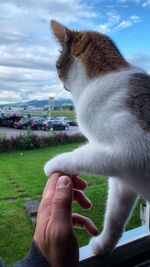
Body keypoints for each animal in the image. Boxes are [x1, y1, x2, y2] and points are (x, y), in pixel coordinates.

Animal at [43, 20, 150, 255]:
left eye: (56, 65)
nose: (58, 77)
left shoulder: (131, 149)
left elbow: (80, 156)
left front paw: (53, 163)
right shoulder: (124, 180)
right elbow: (115, 217)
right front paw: (104, 245)